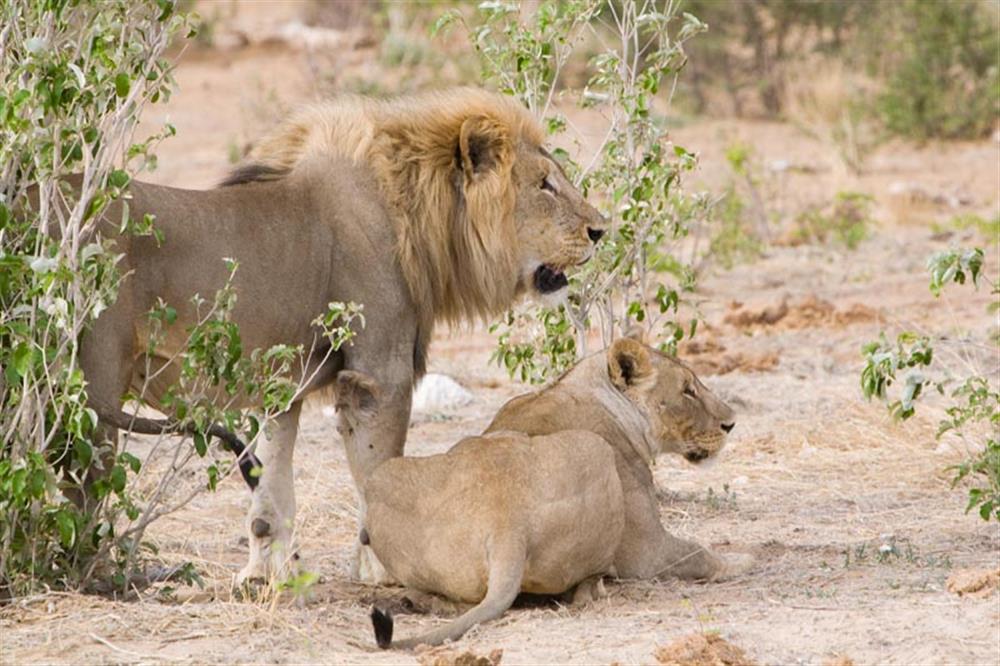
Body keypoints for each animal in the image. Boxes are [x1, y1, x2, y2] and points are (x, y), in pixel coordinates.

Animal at [72, 89, 600, 580]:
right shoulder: (377, 374)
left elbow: (271, 491)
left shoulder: (282, 383)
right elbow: (378, 476)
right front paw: (385, 574)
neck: (417, 211)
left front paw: (263, 577)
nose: (601, 229)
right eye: (545, 185)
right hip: (94, 387)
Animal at [336, 334, 752, 644]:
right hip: (593, 451)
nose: (731, 423)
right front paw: (743, 561)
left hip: (385, 475)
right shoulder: (646, 550)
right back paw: (595, 587)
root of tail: (505, 522)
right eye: (688, 390)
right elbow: (700, 553)